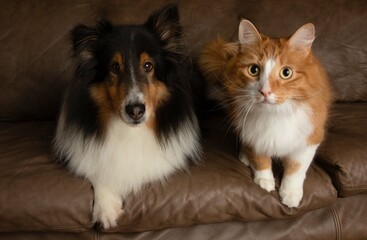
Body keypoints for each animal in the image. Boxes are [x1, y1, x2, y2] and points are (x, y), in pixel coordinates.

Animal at [52, 4, 201, 229]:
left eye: (148, 65)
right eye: (115, 67)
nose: (136, 110)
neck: (130, 131)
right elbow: (101, 170)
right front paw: (106, 212)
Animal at [200, 19, 332, 207]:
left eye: (286, 72)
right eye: (254, 70)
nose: (265, 91)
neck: (275, 113)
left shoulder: (309, 139)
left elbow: (295, 170)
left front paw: (290, 194)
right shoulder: (253, 134)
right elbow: (260, 160)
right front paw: (265, 180)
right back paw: (245, 156)